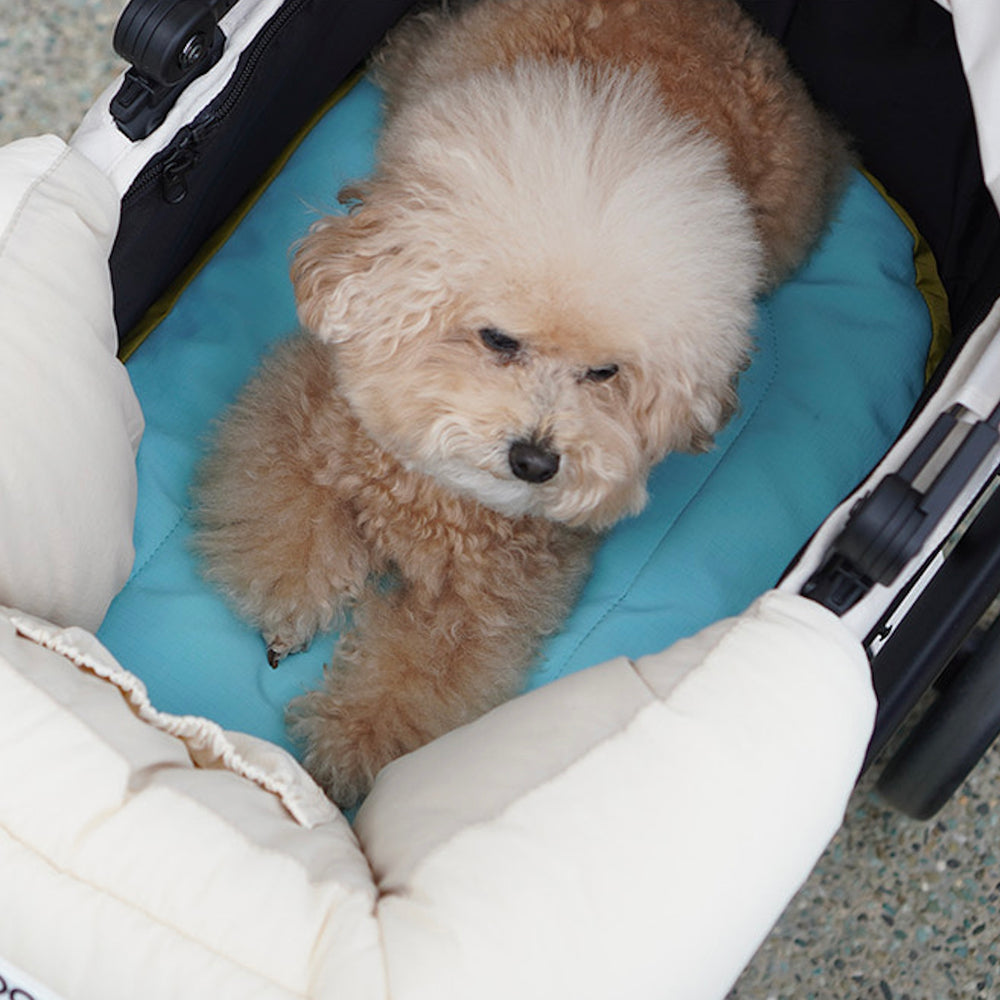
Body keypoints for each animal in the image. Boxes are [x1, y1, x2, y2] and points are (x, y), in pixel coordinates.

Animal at [194, 0, 849, 808]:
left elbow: (419, 671)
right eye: (498, 338)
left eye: (604, 373)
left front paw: (349, 748)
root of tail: (718, 14)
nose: (536, 460)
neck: (438, 493)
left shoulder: (490, 599)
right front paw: (291, 602)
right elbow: (288, 517)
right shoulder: (306, 411)